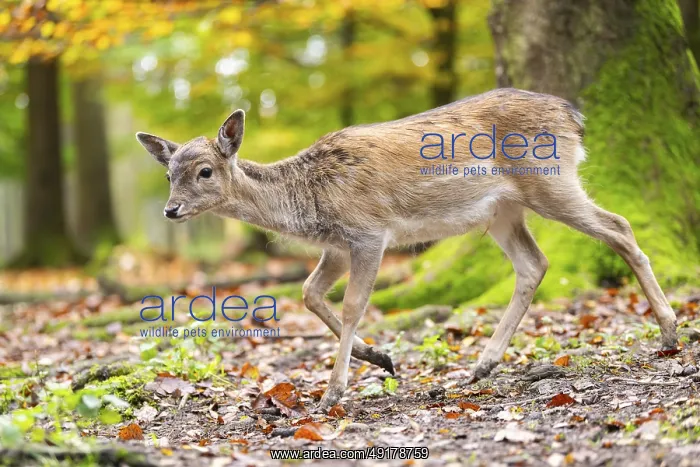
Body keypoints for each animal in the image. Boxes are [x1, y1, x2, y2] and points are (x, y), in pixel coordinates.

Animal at [136, 88, 678, 411]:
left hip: (550, 181)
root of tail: (573, 115)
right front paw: (381, 358)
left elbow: (353, 303)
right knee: (535, 263)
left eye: (205, 171)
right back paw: (482, 365)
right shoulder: (337, 245)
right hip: (503, 210)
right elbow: (309, 293)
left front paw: (334, 392)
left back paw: (670, 331)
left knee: (619, 227)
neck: (309, 202)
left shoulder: (368, 232)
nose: (171, 210)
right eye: (168, 175)